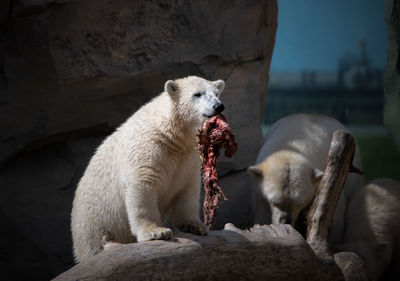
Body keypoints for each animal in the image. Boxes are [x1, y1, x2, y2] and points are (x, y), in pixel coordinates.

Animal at [70, 75, 227, 262]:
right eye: (197, 94)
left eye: (217, 93)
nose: (218, 106)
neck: (172, 135)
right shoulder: (148, 149)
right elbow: (143, 187)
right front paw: (157, 232)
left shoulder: (188, 158)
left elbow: (187, 189)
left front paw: (196, 226)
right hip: (93, 224)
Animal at [247, 112, 362, 242]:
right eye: (274, 201)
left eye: (299, 202)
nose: (286, 221)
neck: (292, 146)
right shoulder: (258, 191)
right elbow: (262, 211)